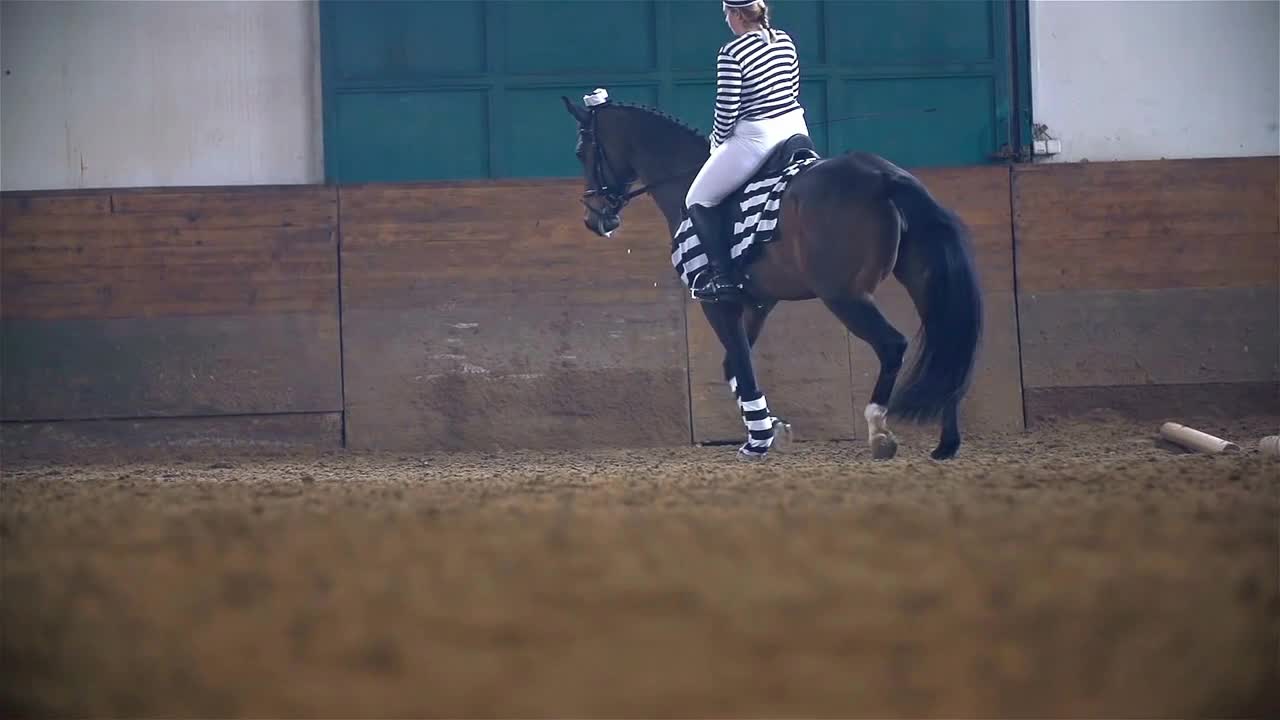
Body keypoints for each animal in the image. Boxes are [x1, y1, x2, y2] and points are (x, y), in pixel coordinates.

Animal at [558, 94, 977, 458]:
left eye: (581, 152)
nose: (596, 219)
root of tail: (883, 176)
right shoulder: (759, 302)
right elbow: (733, 367)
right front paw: (771, 427)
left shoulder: (718, 303)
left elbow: (742, 365)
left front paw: (757, 441)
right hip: (921, 282)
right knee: (947, 339)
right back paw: (947, 444)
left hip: (845, 296)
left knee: (892, 345)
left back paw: (879, 431)